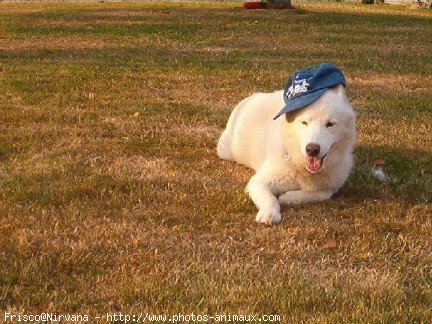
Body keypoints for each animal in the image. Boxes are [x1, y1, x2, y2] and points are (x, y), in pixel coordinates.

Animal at [216, 74, 354, 224]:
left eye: (330, 124)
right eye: (304, 122)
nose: (312, 149)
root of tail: (250, 98)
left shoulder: (331, 186)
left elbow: (322, 194)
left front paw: (289, 197)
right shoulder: (258, 182)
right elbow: (270, 199)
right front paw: (269, 213)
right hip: (226, 151)